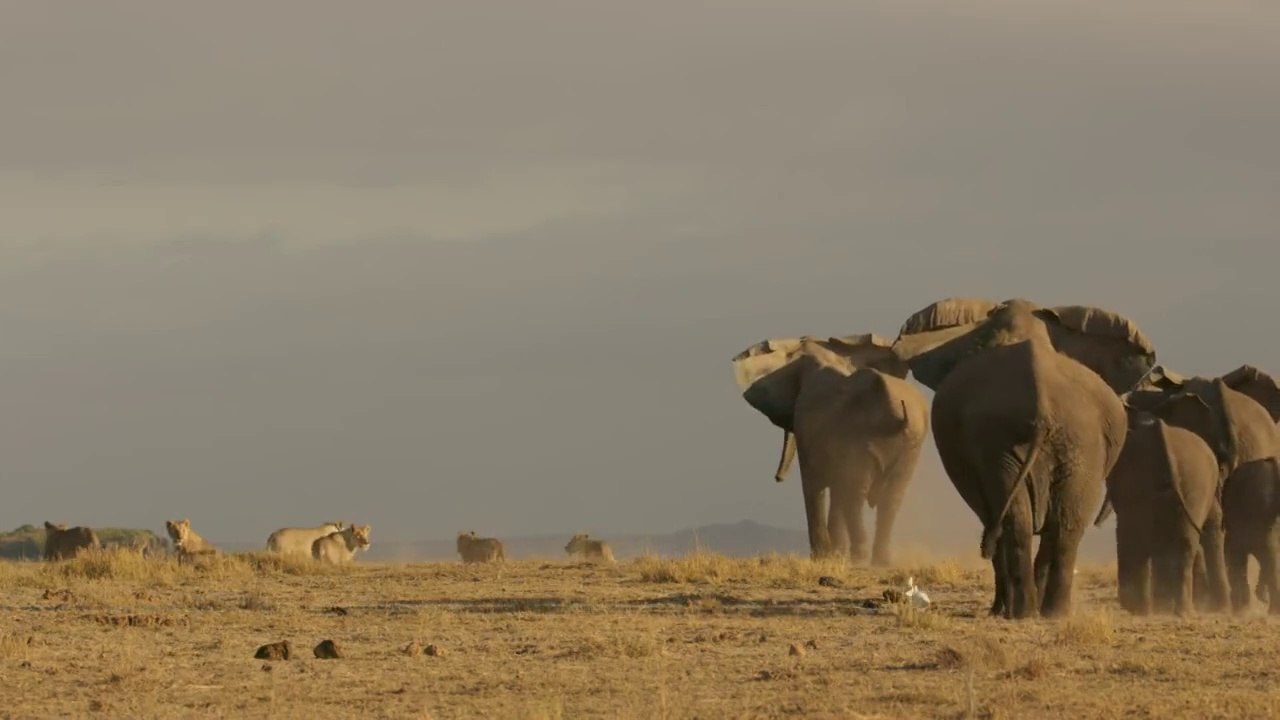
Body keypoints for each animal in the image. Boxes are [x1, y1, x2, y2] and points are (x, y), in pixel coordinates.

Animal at [732, 334, 929, 564]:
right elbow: (836, 486)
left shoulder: (807, 423)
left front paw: (823, 557)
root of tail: (894, 412)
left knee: (856, 493)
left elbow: (814, 484)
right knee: (890, 497)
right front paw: (834, 555)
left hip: (868, 436)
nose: (777, 478)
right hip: (910, 443)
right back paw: (880, 561)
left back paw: (858, 558)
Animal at [892, 298, 1155, 618]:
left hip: (1038, 439)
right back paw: (1046, 613)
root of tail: (1041, 404)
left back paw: (1030, 612)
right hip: (1061, 442)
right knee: (1059, 523)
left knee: (1030, 522)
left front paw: (999, 610)